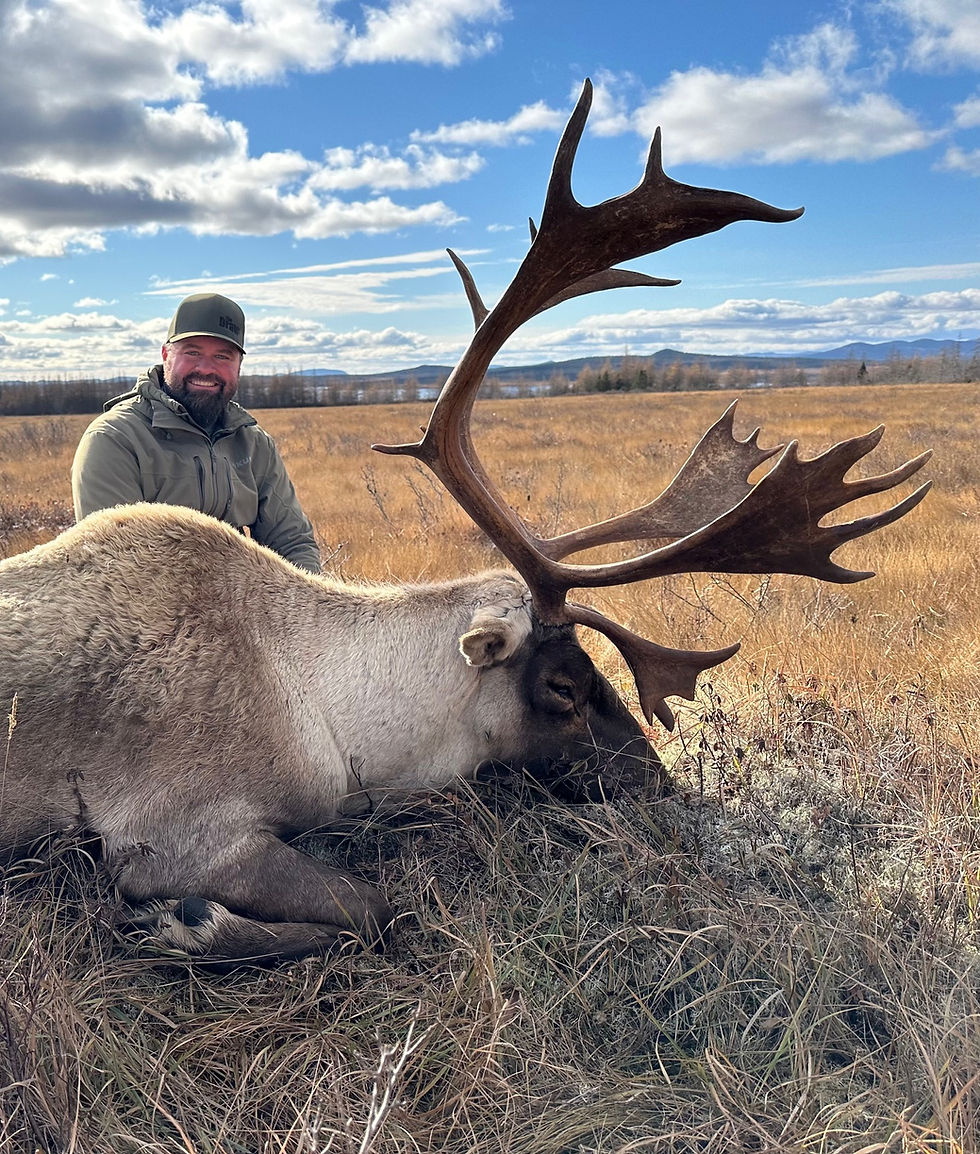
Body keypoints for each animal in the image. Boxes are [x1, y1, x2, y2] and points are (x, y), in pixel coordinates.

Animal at [0, 81, 930, 961]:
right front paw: (187, 926)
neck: (327, 704)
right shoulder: (176, 834)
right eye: (563, 686)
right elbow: (374, 909)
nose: (659, 786)